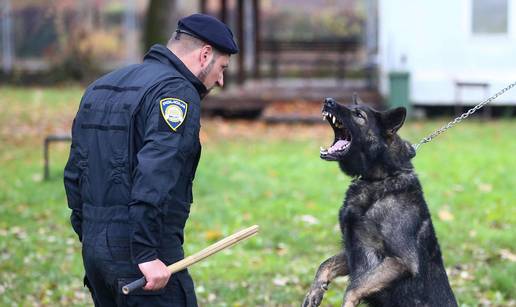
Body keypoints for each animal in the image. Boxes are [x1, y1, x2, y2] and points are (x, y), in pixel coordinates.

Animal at [300, 98, 458, 307]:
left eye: (358, 115)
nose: (328, 101)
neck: (382, 178)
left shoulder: (401, 261)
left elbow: (352, 288)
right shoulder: (351, 252)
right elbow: (325, 264)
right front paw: (315, 291)